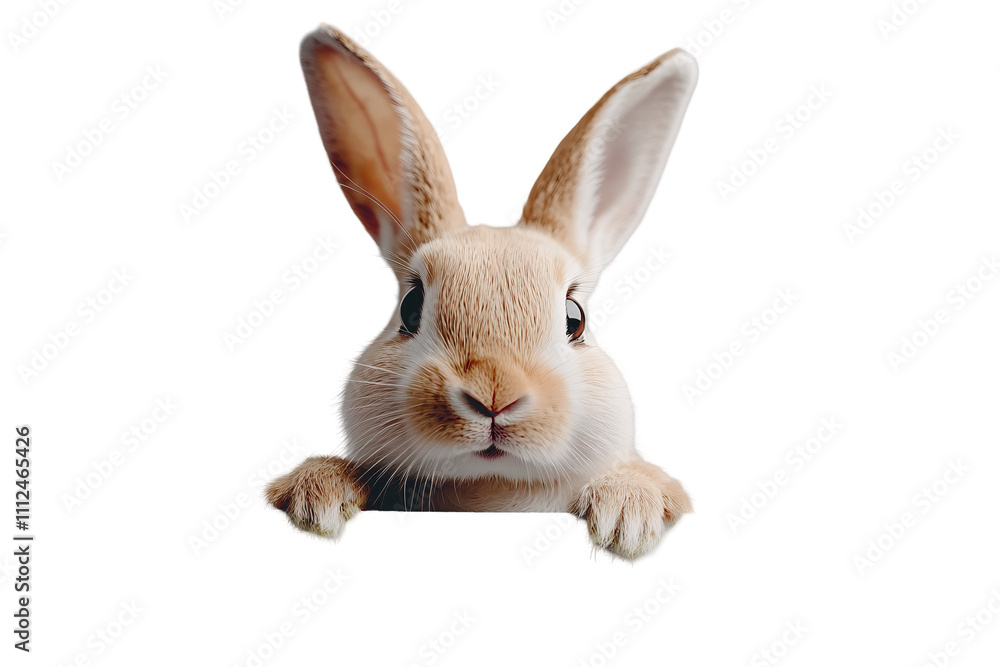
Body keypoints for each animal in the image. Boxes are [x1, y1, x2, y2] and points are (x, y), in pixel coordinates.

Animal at [267, 24, 698, 559]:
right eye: (410, 307)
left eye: (575, 318)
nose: (496, 394)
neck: (491, 490)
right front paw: (319, 496)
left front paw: (627, 515)